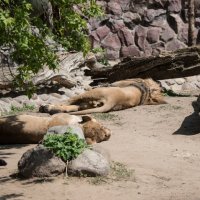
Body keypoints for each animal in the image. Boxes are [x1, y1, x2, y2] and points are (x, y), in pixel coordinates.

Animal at [39, 78, 167, 115]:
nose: (160, 83)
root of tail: (113, 101)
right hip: (89, 102)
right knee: (72, 106)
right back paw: (51, 109)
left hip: (94, 92)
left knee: (69, 101)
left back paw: (47, 106)